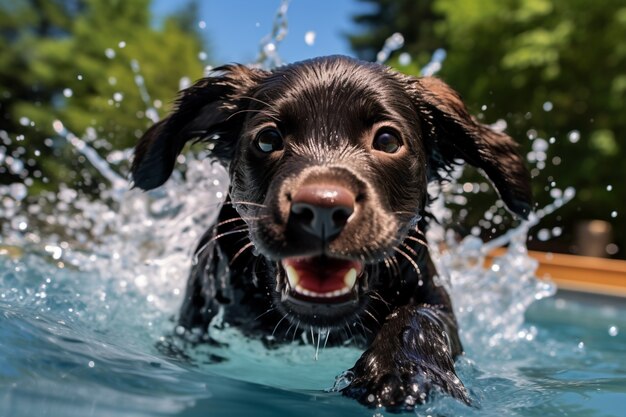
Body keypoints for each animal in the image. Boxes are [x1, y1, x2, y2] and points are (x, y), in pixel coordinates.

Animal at [130, 55, 528, 410]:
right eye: (268, 139)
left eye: (387, 141)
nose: (322, 209)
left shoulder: (434, 299)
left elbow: (421, 317)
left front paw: (401, 372)